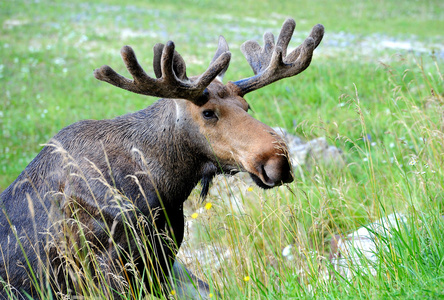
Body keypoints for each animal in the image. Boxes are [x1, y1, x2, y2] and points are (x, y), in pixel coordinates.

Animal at [1, 18, 324, 298]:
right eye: (208, 112)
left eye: (247, 106)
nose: (278, 160)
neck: (165, 187)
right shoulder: (106, 268)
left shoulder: (162, 259)